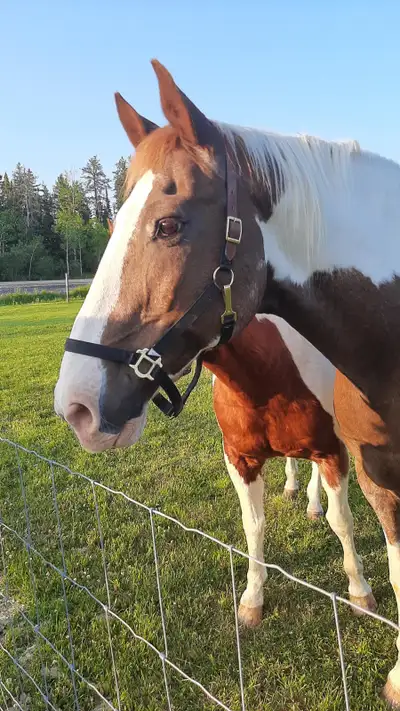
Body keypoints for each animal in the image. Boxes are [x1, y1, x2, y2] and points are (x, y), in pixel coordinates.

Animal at [54, 60, 400, 706]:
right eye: (111, 224)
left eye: (168, 224)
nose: (77, 406)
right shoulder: (249, 458)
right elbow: (254, 527)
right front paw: (253, 601)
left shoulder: (341, 456)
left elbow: (349, 529)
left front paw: (361, 597)